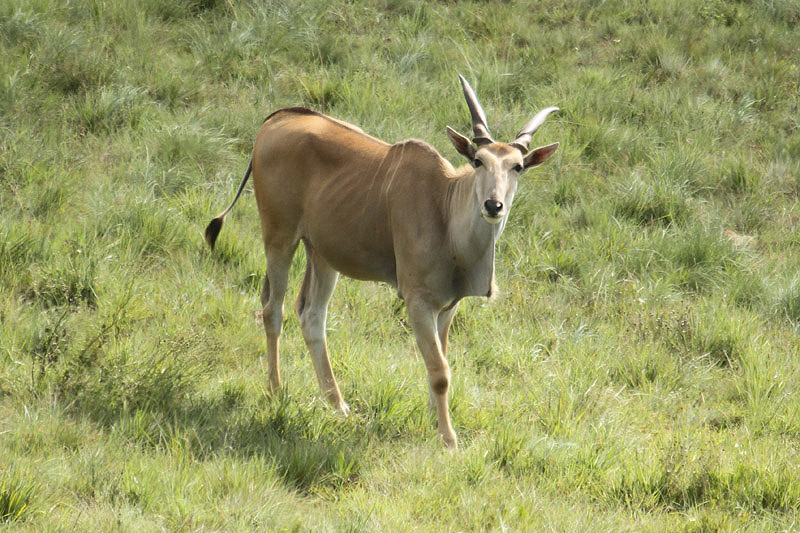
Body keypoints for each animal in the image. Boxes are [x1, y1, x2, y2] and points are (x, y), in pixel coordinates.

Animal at [203, 76, 560, 448]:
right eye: (478, 161)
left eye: (517, 167)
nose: (493, 205)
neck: (445, 210)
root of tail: (274, 121)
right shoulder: (417, 301)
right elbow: (439, 371)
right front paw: (448, 439)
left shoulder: (448, 306)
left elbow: (441, 359)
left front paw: (435, 421)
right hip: (279, 236)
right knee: (273, 309)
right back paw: (275, 391)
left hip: (322, 254)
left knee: (311, 315)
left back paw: (338, 404)